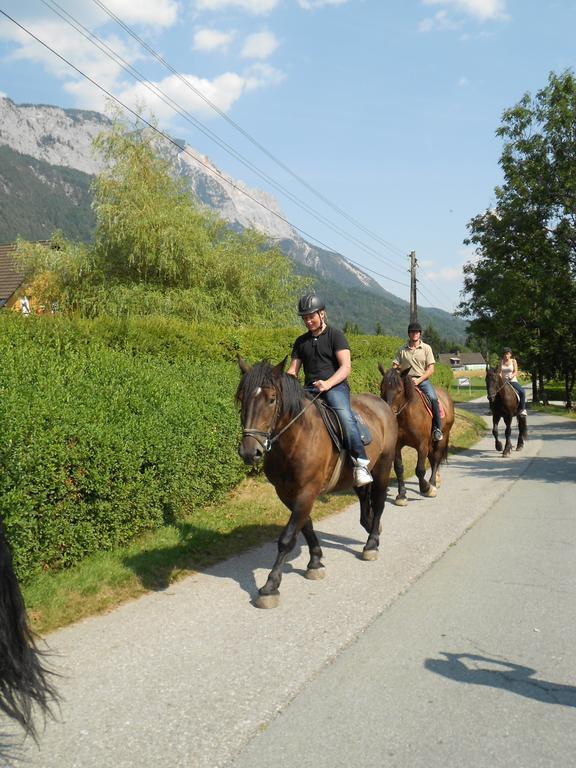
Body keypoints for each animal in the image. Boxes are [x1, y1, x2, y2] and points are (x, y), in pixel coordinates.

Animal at [236, 356, 398, 608]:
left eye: (272, 399)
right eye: (241, 398)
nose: (249, 452)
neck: (297, 438)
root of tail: (382, 405)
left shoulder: (307, 490)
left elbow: (287, 538)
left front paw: (271, 586)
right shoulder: (287, 493)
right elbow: (306, 526)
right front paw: (315, 562)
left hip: (383, 465)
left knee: (379, 502)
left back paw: (371, 544)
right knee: (365, 499)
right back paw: (371, 526)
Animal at [378, 364, 454, 504]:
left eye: (399, 390)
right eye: (382, 388)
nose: (388, 413)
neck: (406, 415)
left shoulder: (421, 445)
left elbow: (419, 470)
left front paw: (426, 489)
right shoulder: (397, 445)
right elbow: (399, 469)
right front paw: (401, 495)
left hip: (442, 437)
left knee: (436, 457)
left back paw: (433, 483)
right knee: (432, 457)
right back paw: (436, 480)